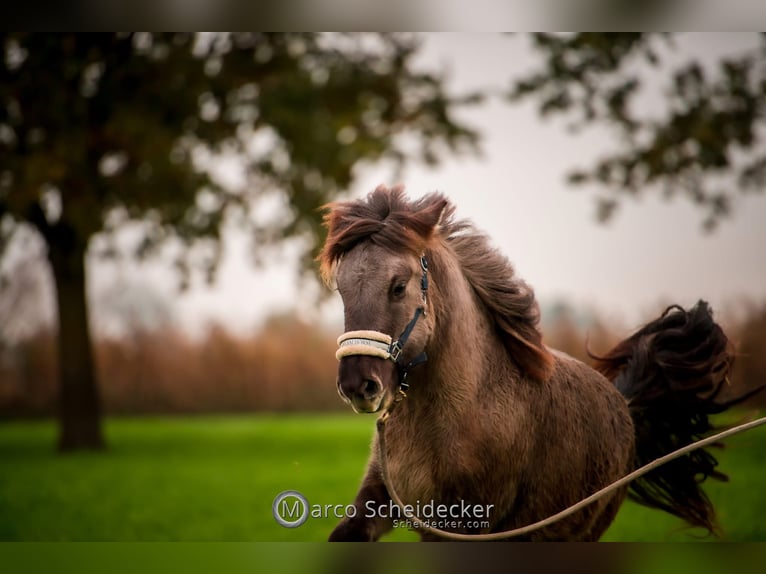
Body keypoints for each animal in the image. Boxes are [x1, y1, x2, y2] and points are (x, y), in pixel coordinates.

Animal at [320, 187, 744, 544]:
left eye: (398, 286)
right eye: (343, 289)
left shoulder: (471, 525)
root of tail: (623, 404)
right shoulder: (383, 499)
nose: (358, 385)